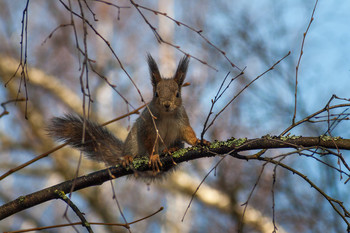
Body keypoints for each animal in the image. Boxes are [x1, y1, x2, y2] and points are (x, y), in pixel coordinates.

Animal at [49, 53, 208, 172]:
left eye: (177, 94)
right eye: (156, 94)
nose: (167, 105)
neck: (167, 115)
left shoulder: (182, 120)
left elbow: (188, 133)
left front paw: (198, 141)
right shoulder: (148, 124)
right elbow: (149, 140)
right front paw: (154, 156)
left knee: (178, 144)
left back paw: (172, 148)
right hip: (132, 141)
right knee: (131, 151)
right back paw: (128, 158)